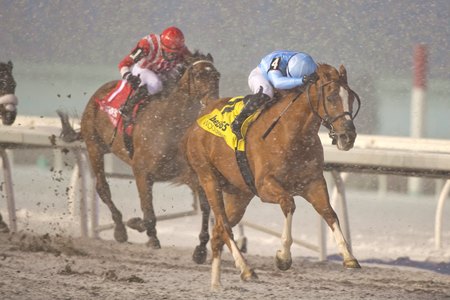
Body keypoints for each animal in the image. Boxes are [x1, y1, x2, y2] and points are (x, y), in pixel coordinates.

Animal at [59, 51, 221, 262]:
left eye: (217, 76)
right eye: (200, 75)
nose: (214, 103)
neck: (168, 123)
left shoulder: (188, 174)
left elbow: (205, 206)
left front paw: (200, 249)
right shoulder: (142, 172)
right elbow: (148, 213)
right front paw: (143, 231)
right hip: (94, 146)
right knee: (103, 188)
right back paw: (120, 229)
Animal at [183, 62, 362, 288]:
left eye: (350, 98)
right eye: (330, 97)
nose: (348, 136)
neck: (291, 134)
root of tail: (204, 113)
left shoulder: (313, 182)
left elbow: (329, 212)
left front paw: (348, 256)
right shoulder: (265, 186)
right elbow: (288, 204)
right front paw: (283, 256)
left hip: (239, 194)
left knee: (218, 231)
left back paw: (217, 284)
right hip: (208, 179)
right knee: (223, 226)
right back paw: (246, 269)